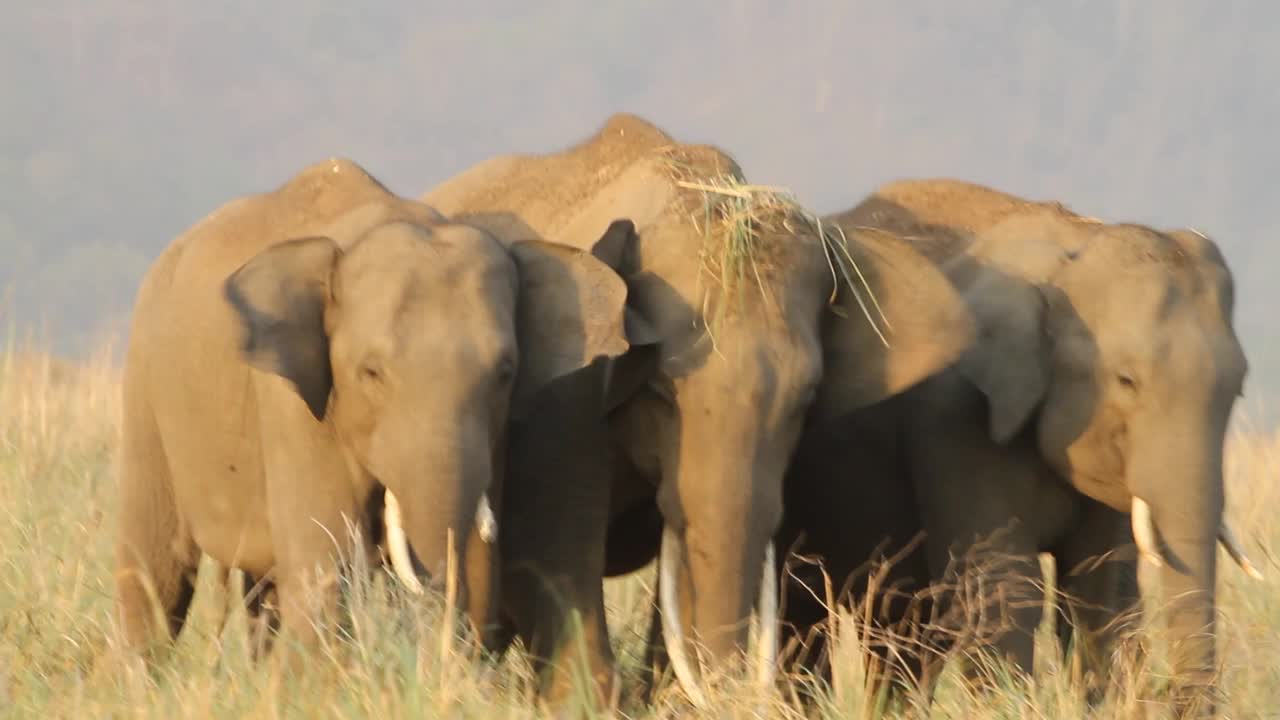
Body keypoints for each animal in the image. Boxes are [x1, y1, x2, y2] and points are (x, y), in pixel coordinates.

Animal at [112, 155, 650, 661]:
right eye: (371, 373)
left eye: (505, 372)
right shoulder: (293, 408)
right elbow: (326, 565)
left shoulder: (495, 432)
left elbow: (479, 561)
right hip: (144, 385)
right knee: (156, 577)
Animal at [768, 178, 1259, 712]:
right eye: (1126, 381)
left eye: (1238, 388)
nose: (1167, 697)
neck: (1069, 252)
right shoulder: (955, 414)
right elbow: (1007, 583)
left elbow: (1098, 584)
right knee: (811, 605)